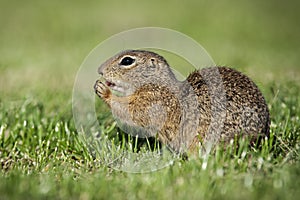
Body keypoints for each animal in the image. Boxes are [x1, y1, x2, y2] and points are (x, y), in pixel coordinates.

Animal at [94, 50, 270, 155]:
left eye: (127, 61)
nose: (100, 70)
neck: (156, 84)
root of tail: (260, 137)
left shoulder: (151, 102)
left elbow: (128, 111)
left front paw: (104, 91)